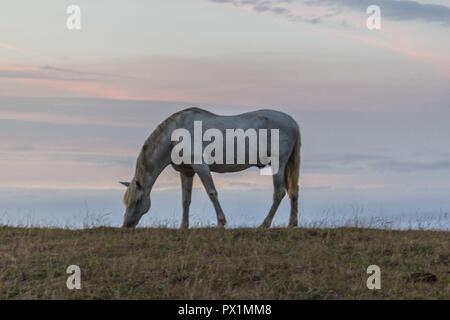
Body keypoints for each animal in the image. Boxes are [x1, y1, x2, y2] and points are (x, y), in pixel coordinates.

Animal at [121, 109, 300, 229]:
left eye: (137, 201)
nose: (126, 226)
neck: (176, 134)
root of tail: (292, 122)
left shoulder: (201, 167)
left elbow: (212, 193)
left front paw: (221, 222)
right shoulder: (187, 172)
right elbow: (185, 200)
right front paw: (183, 226)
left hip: (278, 165)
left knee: (279, 193)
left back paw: (265, 224)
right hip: (286, 167)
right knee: (293, 191)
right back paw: (292, 224)